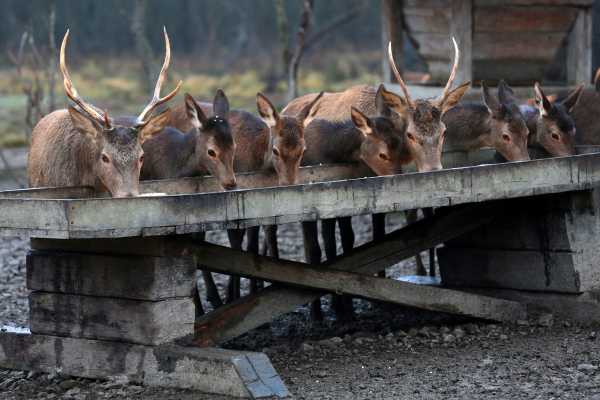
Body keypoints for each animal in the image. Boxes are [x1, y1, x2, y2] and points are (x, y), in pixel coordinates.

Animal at [284, 39, 472, 322]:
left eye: (443, 132)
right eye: (410, 134)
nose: (432, 169)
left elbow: (379, 234)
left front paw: (380, 295)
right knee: (314, 243)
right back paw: (321, 311)